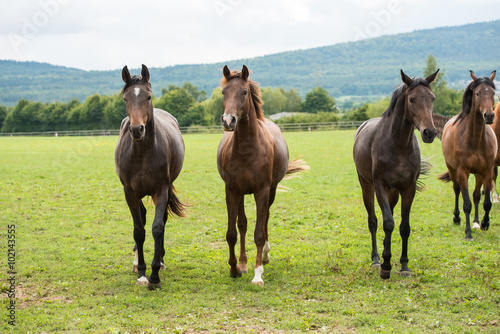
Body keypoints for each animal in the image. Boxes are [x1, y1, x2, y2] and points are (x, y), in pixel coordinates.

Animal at [114, 64, 186, 288]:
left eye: (148, 96)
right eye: (125, 98)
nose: (137, 129)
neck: (142, 153)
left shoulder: (161, 190)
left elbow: (157, 228)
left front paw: (154, 274)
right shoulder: (129, 192)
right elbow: (139, 230)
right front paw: (142, 272)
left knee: (161, 219)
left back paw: (160, 261)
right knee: (143, 218)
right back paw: (137, 262)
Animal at [216, 65, 306, 288]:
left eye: (244, 92)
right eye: (223, 92)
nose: (228, 120)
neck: (246, 148)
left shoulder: (262, 191)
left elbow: (258, 232)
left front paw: (258, 274)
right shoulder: (231, 190)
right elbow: (232, 232)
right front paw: (234, 268)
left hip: (271, 191)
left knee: (265, 220)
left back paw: (264, 255)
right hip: (241, 193)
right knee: (242, 224)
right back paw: (243, 263)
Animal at [352, 70, 438, 280]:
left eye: (432, 98)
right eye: (412, 99)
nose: (430, 132)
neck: (398, 144)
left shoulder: (408, 188)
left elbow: (404, 227)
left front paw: (404, 266)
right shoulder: (380, 186)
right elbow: (388, 222)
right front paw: (385, 266)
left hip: (394, 192)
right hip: (367, 186)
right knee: (374, 221)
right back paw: (376, 259)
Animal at [438, 70, 496, 240]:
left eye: (493, 93)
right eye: (477, 93)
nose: (489, 116)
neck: (475, 139)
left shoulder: (487, 171)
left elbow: (485, 202)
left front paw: (484, 223)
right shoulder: (462, 172)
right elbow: (467, 203)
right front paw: (468, 232)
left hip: (478, 174)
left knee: (476, 195)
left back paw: (476, 222)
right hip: (452, 170)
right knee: (457, 190)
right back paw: (457, 218)